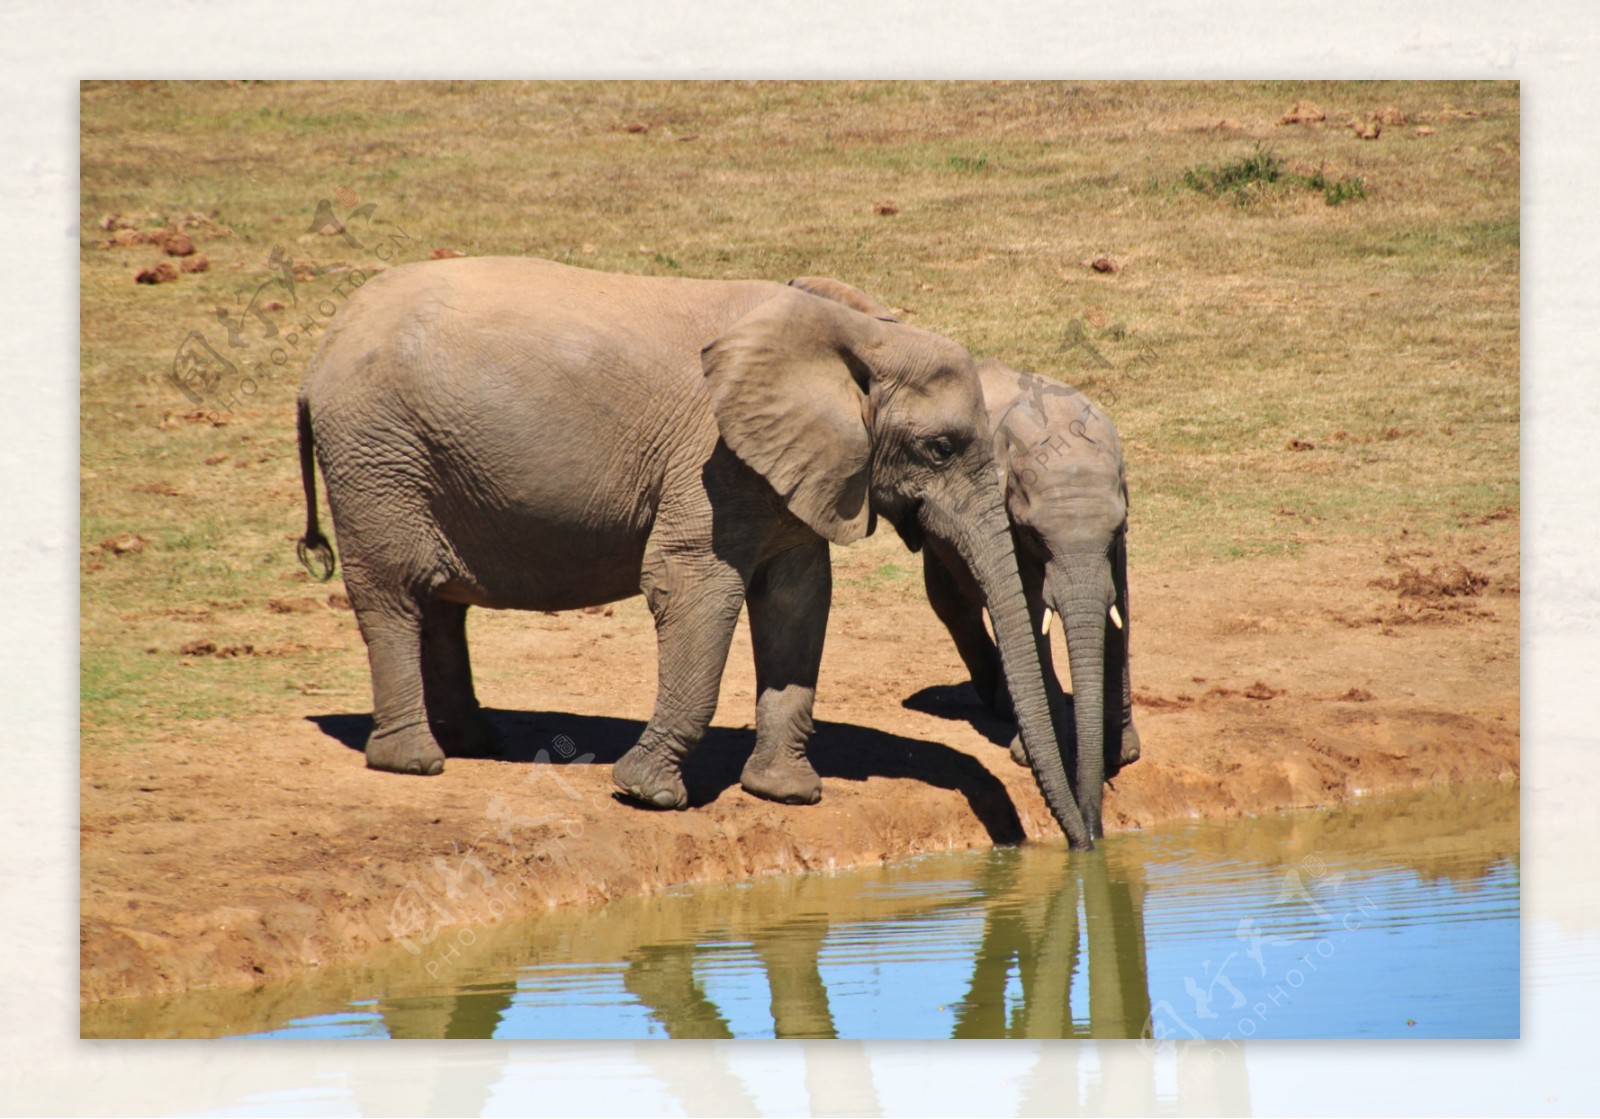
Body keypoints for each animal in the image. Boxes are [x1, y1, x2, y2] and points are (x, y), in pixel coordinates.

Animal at [297, 254, 1100, 851]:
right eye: (940, 448)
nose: (1084, 842)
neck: (852, 332)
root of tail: (322, 350)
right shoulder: (709, 461)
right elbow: (693, 587)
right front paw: (646, 795)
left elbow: (799, 599)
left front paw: (785, 794)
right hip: (377, 456)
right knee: (395, 594)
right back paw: (415, 763)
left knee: (440, 603)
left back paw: (475, 742)